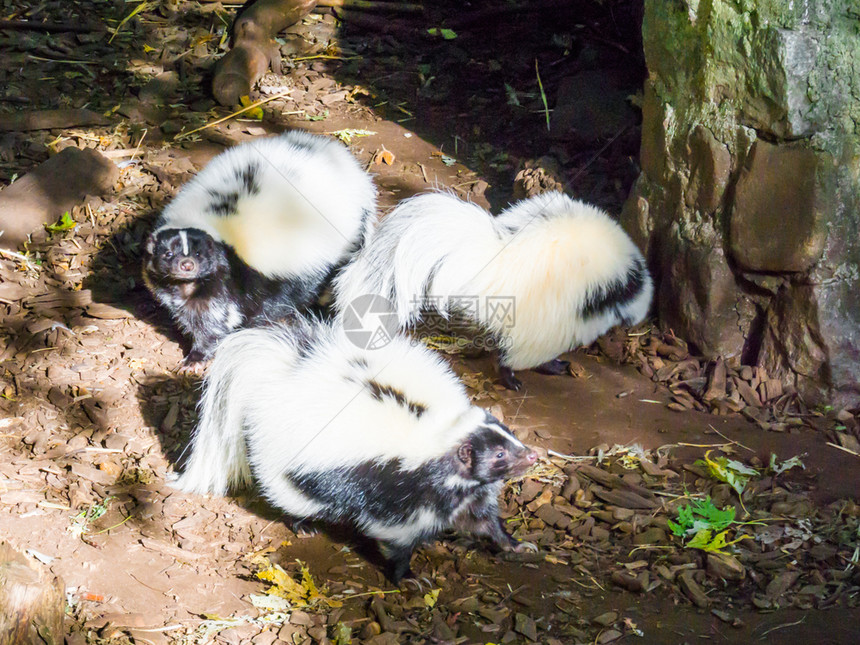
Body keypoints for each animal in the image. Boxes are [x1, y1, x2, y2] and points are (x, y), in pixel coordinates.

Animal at [142, 131, 376, 368]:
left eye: (200, 254)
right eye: (168, 254)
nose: (187, 265)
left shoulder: (234, 279)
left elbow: (214, 319)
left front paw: (197, 357)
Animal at [171, 320, 536, 580]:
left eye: (509, 437)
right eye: (500, 455)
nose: (532, 455)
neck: (438, 435)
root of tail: (284, 373)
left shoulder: (467, 490)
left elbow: (483, 520)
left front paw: (517, 544)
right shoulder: (402, 490)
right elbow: (397, 536)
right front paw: (407, 577)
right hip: (296, 466)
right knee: (291, 492)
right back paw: (303, 525)